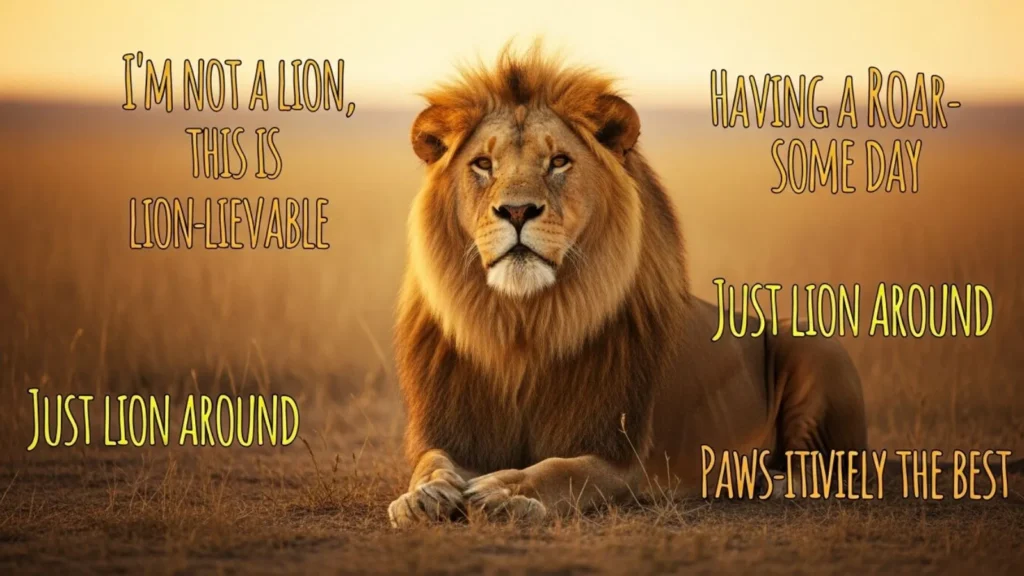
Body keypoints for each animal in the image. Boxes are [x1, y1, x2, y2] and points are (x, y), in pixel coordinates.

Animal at [388, 43, 868, 527]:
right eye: (483, 164)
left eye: (558, 161)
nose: (518, 211)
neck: (526, 325)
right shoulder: (456, 432)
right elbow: (432, 461)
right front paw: (423, 495)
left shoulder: (623, 458)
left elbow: (561, 470)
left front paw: (505, 491)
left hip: (815, 344)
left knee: (826, 470)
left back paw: (764, 479)